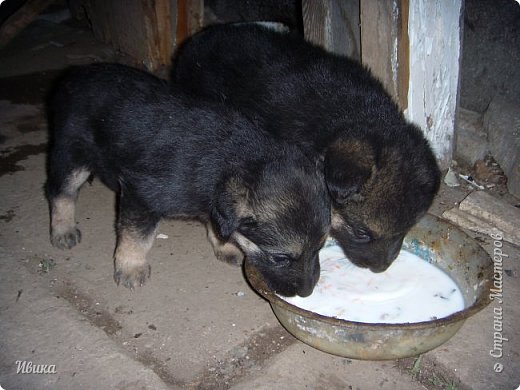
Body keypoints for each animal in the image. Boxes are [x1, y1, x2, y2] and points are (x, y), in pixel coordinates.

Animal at [45, 63, 330, 296]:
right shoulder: (140, 197)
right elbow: (136, 236)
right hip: (73, 154)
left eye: (320, 248)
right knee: (60, 191)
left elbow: (218, 228)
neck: (238, 160)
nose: (307, 292)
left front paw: (226, 247)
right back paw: (63, 229)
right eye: (280, 258)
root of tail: (75, 74)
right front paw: (130, 266)